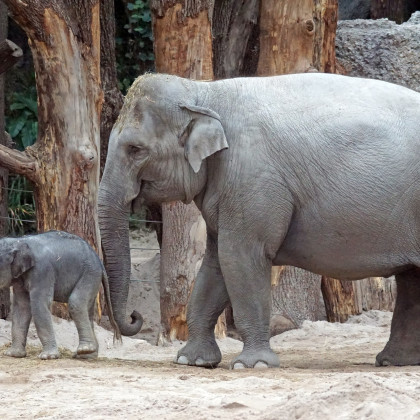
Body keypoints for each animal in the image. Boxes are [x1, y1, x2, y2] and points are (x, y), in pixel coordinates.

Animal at [0, 231, 121, 359]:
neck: (18, 241)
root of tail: (100, 263)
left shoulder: (42, 271)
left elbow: (39, 305)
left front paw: (47, 356)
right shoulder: (20, 278)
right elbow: (22, 308)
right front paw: (12, 354)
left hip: (90, 273)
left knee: (76, 303)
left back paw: (85, 350)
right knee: (87, 310)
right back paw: (86, 355)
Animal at [98, 72, 420, 369]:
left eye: (135, 149)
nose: (135, 316)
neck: (204, 91)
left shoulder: (252, 179)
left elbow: (240, 257)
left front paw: (252, 365)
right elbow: (216, 263)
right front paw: (192, 361)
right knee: (411, 278)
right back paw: (394, 362)